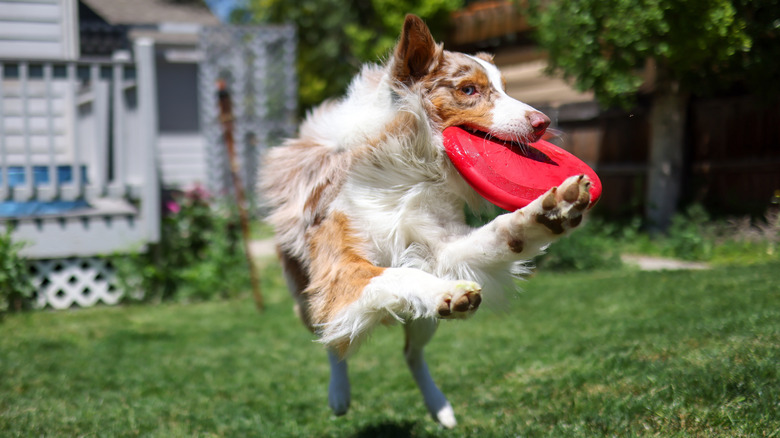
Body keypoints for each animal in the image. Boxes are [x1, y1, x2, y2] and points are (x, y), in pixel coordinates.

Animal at [258, 13, 588, 428]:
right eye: (469, 90)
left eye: (505, 88)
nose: (542, 121)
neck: (410, 167)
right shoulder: (337, 267)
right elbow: (396, 275)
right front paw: (444, 290)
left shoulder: (440, 247)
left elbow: (497, 235)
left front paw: (549, 213)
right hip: (306, 299)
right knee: (333, 339)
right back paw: (339, 394)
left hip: (423, 324)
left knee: (411, 354)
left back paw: (439, 405)